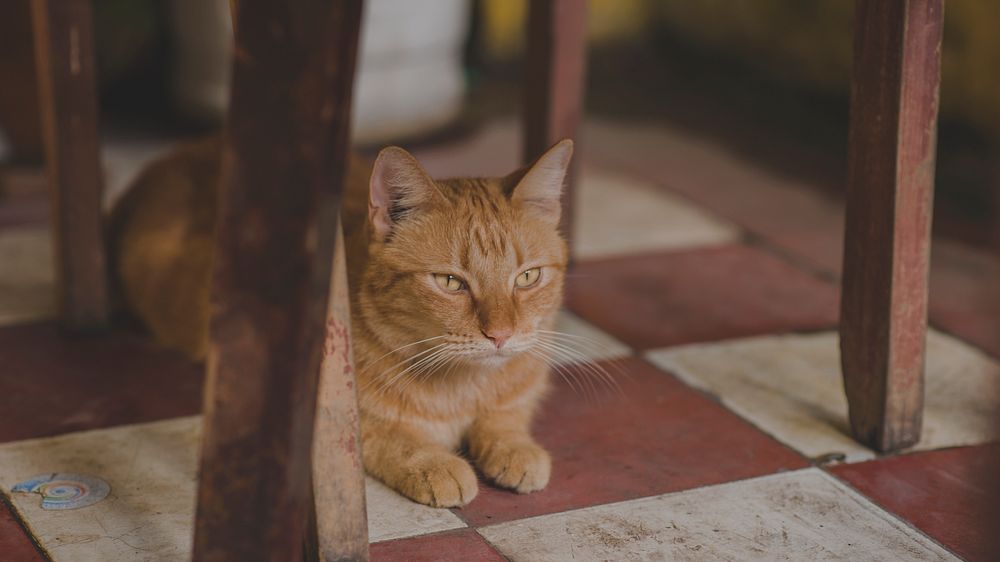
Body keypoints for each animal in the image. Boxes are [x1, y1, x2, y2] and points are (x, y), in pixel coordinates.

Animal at [108, 135, 572, 504]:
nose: (501, 335)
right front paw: (436, 464)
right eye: (450, 282)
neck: (461, 388)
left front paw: (515, 447)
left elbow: (505, 417)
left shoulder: (520, 390)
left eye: (527, 277)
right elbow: (392, 437)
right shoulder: (320, 419)